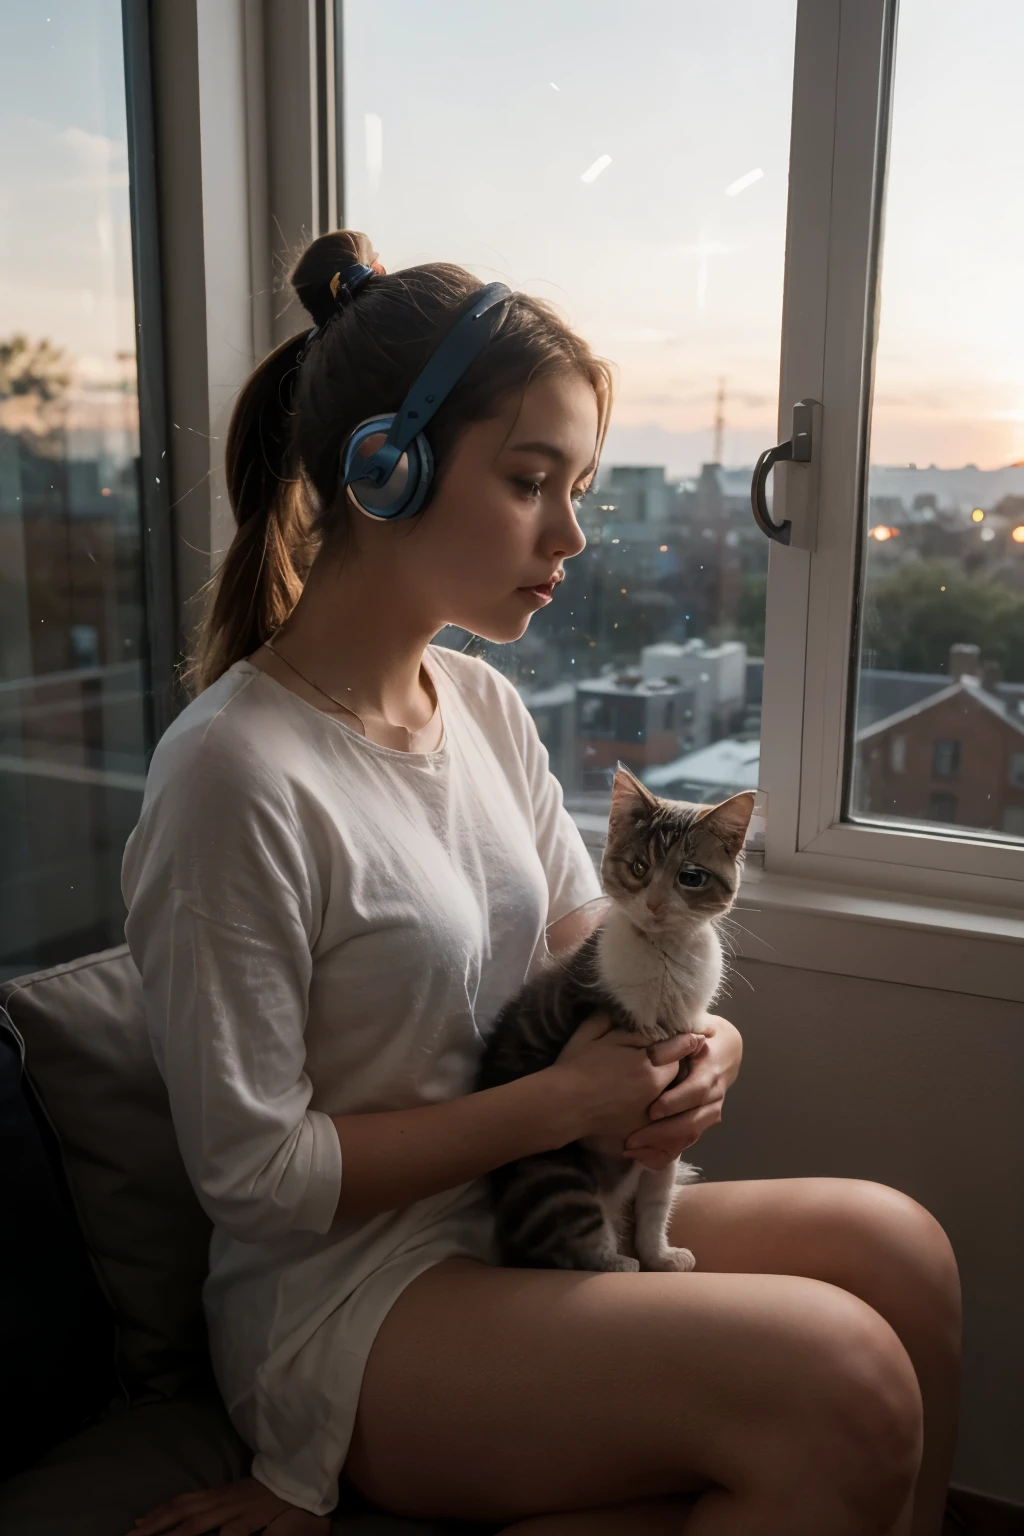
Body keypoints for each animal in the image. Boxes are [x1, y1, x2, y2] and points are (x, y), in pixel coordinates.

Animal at [475, 764, 758, 1271]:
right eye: (640, 868)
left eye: (690, 877)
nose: (656, 903)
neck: (666, 957)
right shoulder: (600, 1001)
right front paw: (635, 1261)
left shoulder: (665, 1139)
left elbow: (655, 1202)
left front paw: (660, 1255)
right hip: (550, 1169)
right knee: (564, 1233)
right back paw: (614, 1262)